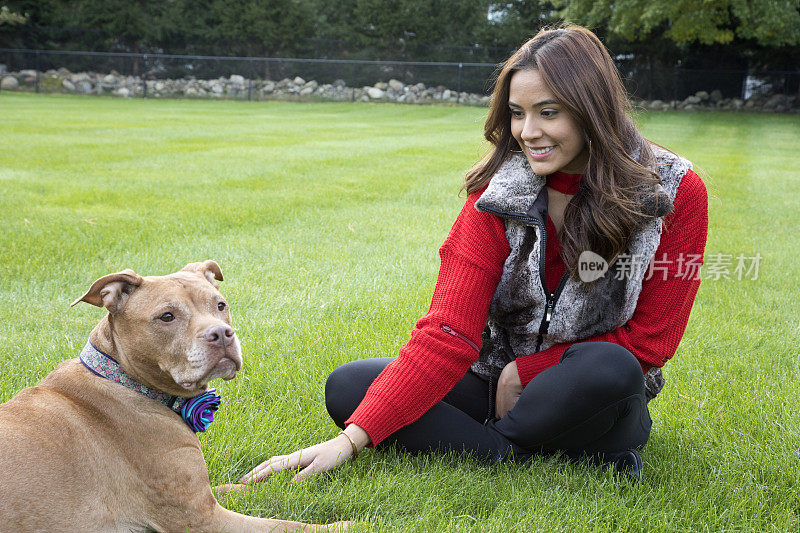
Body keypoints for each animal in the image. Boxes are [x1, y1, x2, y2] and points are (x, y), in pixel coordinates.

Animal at [0, 262, 344, 532]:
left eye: (220, 305)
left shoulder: (205, 497)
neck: (126, 380)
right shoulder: (204, 519)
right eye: (167, 317)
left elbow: (241, 487)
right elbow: (289, 525)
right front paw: (348, 524)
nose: (221, 334)